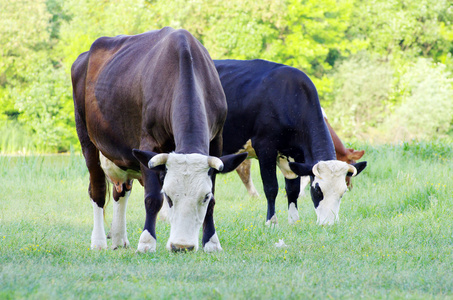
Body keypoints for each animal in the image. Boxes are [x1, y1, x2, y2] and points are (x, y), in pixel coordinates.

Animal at [71, 28, 247, 253]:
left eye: (204, 197)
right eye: (169, 196)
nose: (182, 246)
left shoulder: (216, 142)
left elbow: (214, 200)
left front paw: (211, 242)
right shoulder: (149, 144)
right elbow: (153, 198)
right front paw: (147, 242)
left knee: (121, 192)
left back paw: (119, 238)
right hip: (87, 139)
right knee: (98, 190)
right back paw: (99, 241)